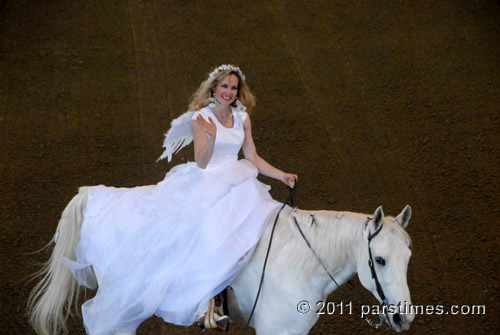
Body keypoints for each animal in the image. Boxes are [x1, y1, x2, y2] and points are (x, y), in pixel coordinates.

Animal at [26, 188, 414, 334]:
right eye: (380, 259)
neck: (301, 261)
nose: (403, 316)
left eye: (408, 258)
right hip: (120, 304)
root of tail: (95, 195)